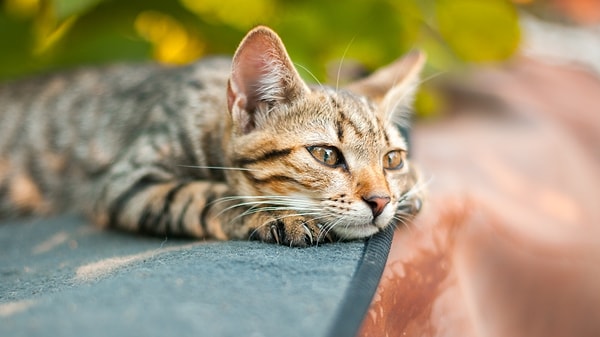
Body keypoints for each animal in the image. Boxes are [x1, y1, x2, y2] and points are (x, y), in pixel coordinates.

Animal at [0, 26, 424, 245]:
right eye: (326, 155)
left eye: (392, 160)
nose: (381, 201)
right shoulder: (126, 180)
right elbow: (204, 194)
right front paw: (278, 214)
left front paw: (411, 191)